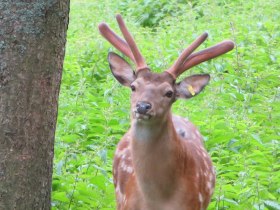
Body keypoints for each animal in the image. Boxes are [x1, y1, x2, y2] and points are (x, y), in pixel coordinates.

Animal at [98, 14, 234, 210]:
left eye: (169, 93)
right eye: (133, 86)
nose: (143, 106)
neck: (156, 200)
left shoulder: (194, 204)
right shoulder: (125, 204)